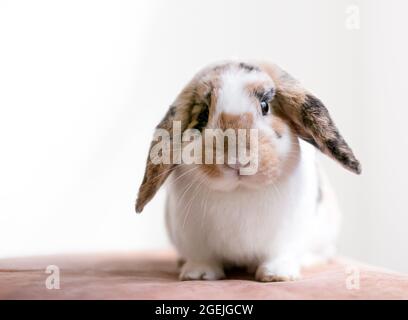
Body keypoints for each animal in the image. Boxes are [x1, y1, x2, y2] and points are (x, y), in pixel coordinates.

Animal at [135, 61, 360, 282]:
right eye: (203, 114)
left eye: (265, 106)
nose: (237, 159)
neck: (239, 191)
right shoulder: (193, 238)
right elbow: (202, 258)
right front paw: (198, 275)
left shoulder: (286, 236)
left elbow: (280, 254)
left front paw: (277, 276)